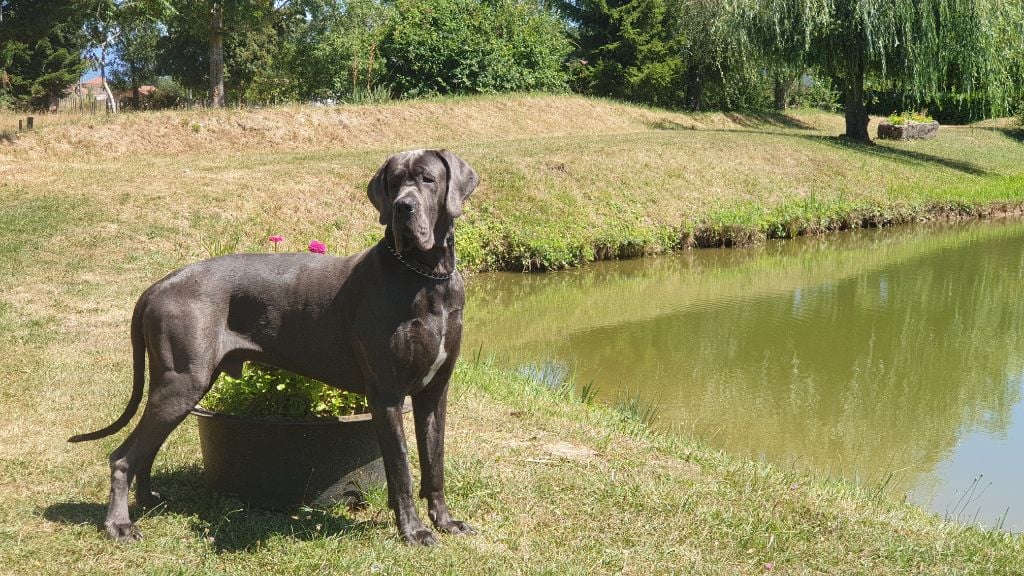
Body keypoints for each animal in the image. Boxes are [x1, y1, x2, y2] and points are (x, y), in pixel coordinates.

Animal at [72, 147, 479, 541]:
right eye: (394, 182)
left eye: (427, 179)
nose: (402, 207)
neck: (425, 277)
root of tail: (158, 285)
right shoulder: (387, 395)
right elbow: (402, 469)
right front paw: (414, 530)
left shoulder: (433, 393)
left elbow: (434, 463)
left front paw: (445, 521)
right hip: (182, 382)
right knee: (123, 456)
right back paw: (119, 524)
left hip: (177, 385)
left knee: (147, 447)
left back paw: (148, 501)